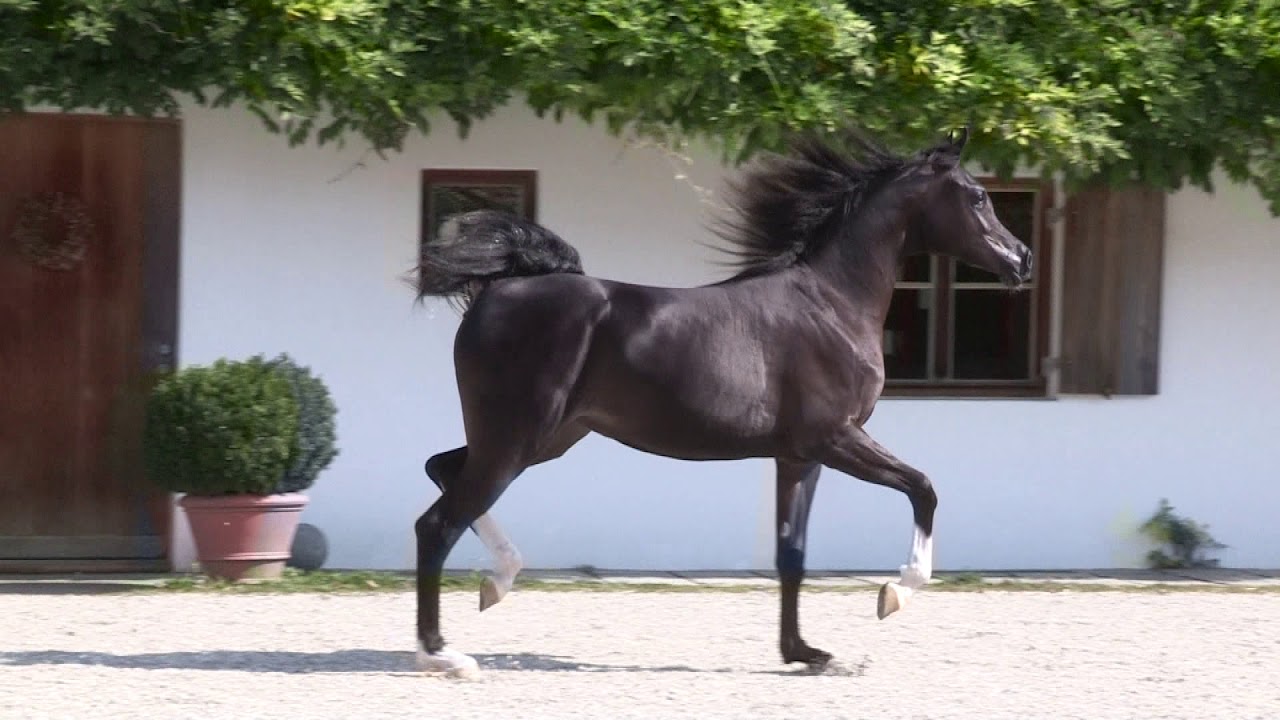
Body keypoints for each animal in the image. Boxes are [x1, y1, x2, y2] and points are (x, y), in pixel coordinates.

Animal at [410, 127, 1033, 675]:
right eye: (978, 196)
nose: (1022, 258)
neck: (832, 304)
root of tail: (497, 290)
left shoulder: (799, 457)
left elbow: (791, 555)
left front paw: (805, 653)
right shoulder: (835, 437)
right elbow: (923, 488)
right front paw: (894, 593)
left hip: (545, 437)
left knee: (442, 471)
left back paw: (496, 583)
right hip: (518, 438)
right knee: (437, 523)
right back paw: (443, 653)